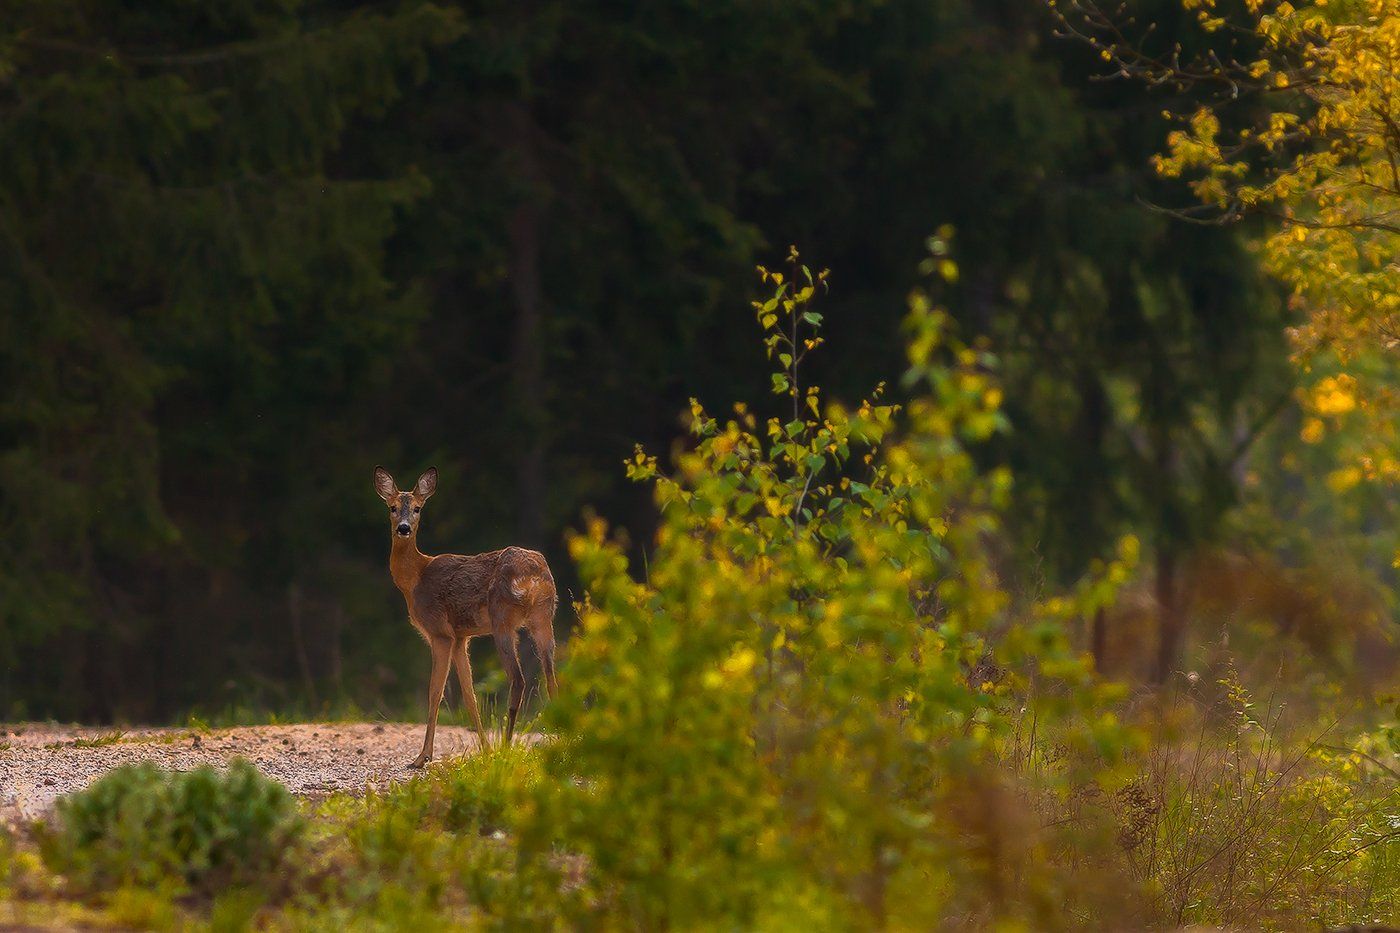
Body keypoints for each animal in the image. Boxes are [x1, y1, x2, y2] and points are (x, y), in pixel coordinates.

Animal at [380, 462, 565, 762]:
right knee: (551, 679)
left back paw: (506, 746)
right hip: (543, 617)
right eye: (393, 507)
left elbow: (435, 692)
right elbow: (470, 694)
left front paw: (423, 757)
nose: (404, 528)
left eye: (418, 508)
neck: (415, 577)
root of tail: (533, 576)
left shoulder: (440, 632)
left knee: (518, 680)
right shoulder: (461, 637)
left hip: (502, 619)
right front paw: (485, 749)